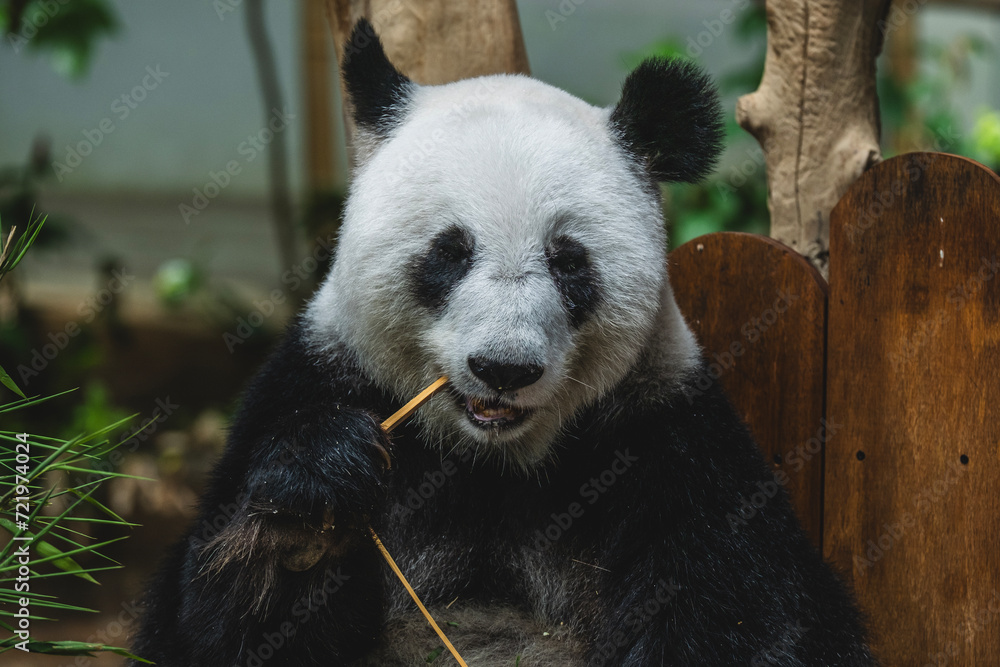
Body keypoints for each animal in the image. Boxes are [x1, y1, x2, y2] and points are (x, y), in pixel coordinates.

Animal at [130, 19, 875, 667]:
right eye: (450, 251)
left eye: (568, 262)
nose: (503, 368)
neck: (491, 460)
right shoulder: (316, 377)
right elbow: (203, 625)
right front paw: (310, 509)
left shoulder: (666, 434)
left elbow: (760, 616)